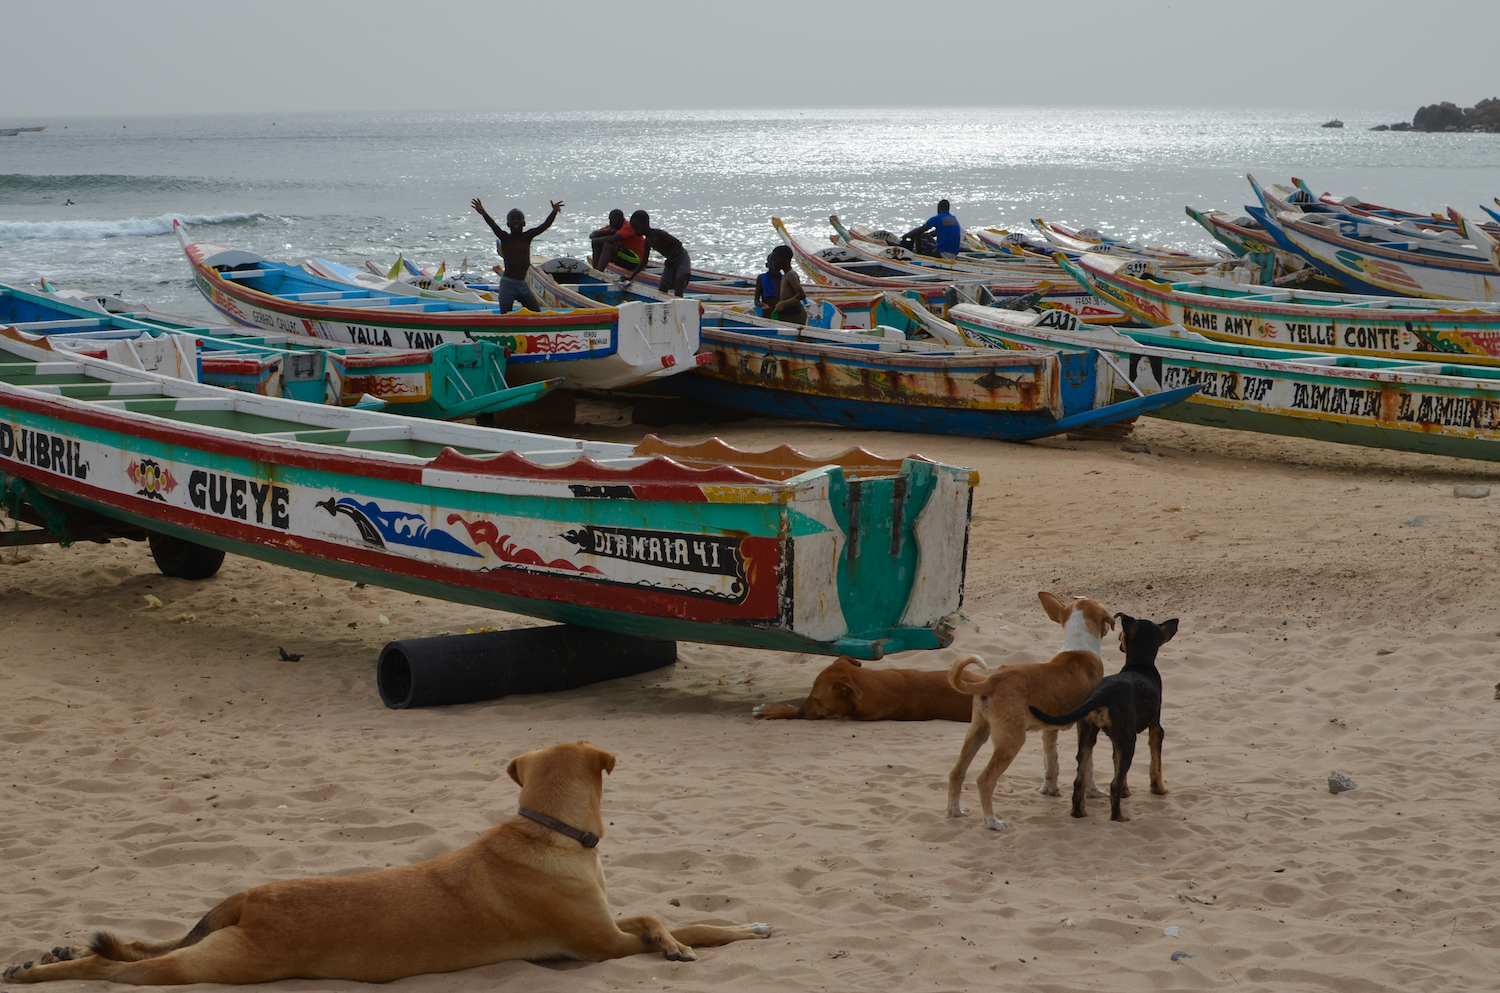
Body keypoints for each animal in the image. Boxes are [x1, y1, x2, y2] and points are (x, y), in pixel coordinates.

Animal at [0, 744, 768, 984]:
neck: (545, 830)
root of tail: (251, 895)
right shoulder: (601, 945)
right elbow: (667, 924)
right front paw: (692, 943)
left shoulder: (606, 927)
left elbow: (672, 914)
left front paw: (728, 932)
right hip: (214, 965)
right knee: (115, 970)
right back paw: (48, 970)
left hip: (204, 941)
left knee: (136, 942)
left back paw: (47, 954)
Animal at [948, 594, 1116, 834]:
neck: (1079, 648)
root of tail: (992, 680)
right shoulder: (1086, 725)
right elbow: (1088, 766)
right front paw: (1094, 792)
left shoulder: (1050, 728)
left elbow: (1051, 763)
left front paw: (1049, 791)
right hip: (1012, 740)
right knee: (984, 780)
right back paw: (991, 821)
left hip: (977, 733)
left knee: (956, 772)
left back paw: (954, 811)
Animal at [1026, 615, 1176, 822]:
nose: (1119, 639)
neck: (1140, 664)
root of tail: (1102, 694)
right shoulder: (1156, 729)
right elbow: (1156, 766)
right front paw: (1159, 789)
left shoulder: (1116, 740)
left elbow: (1117, 764)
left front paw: (1127, 792)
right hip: (1128, 741)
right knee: (1114, 784)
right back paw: (1119, 816)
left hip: (1088, 737)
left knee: (1079, 781)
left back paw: (1079, 813)